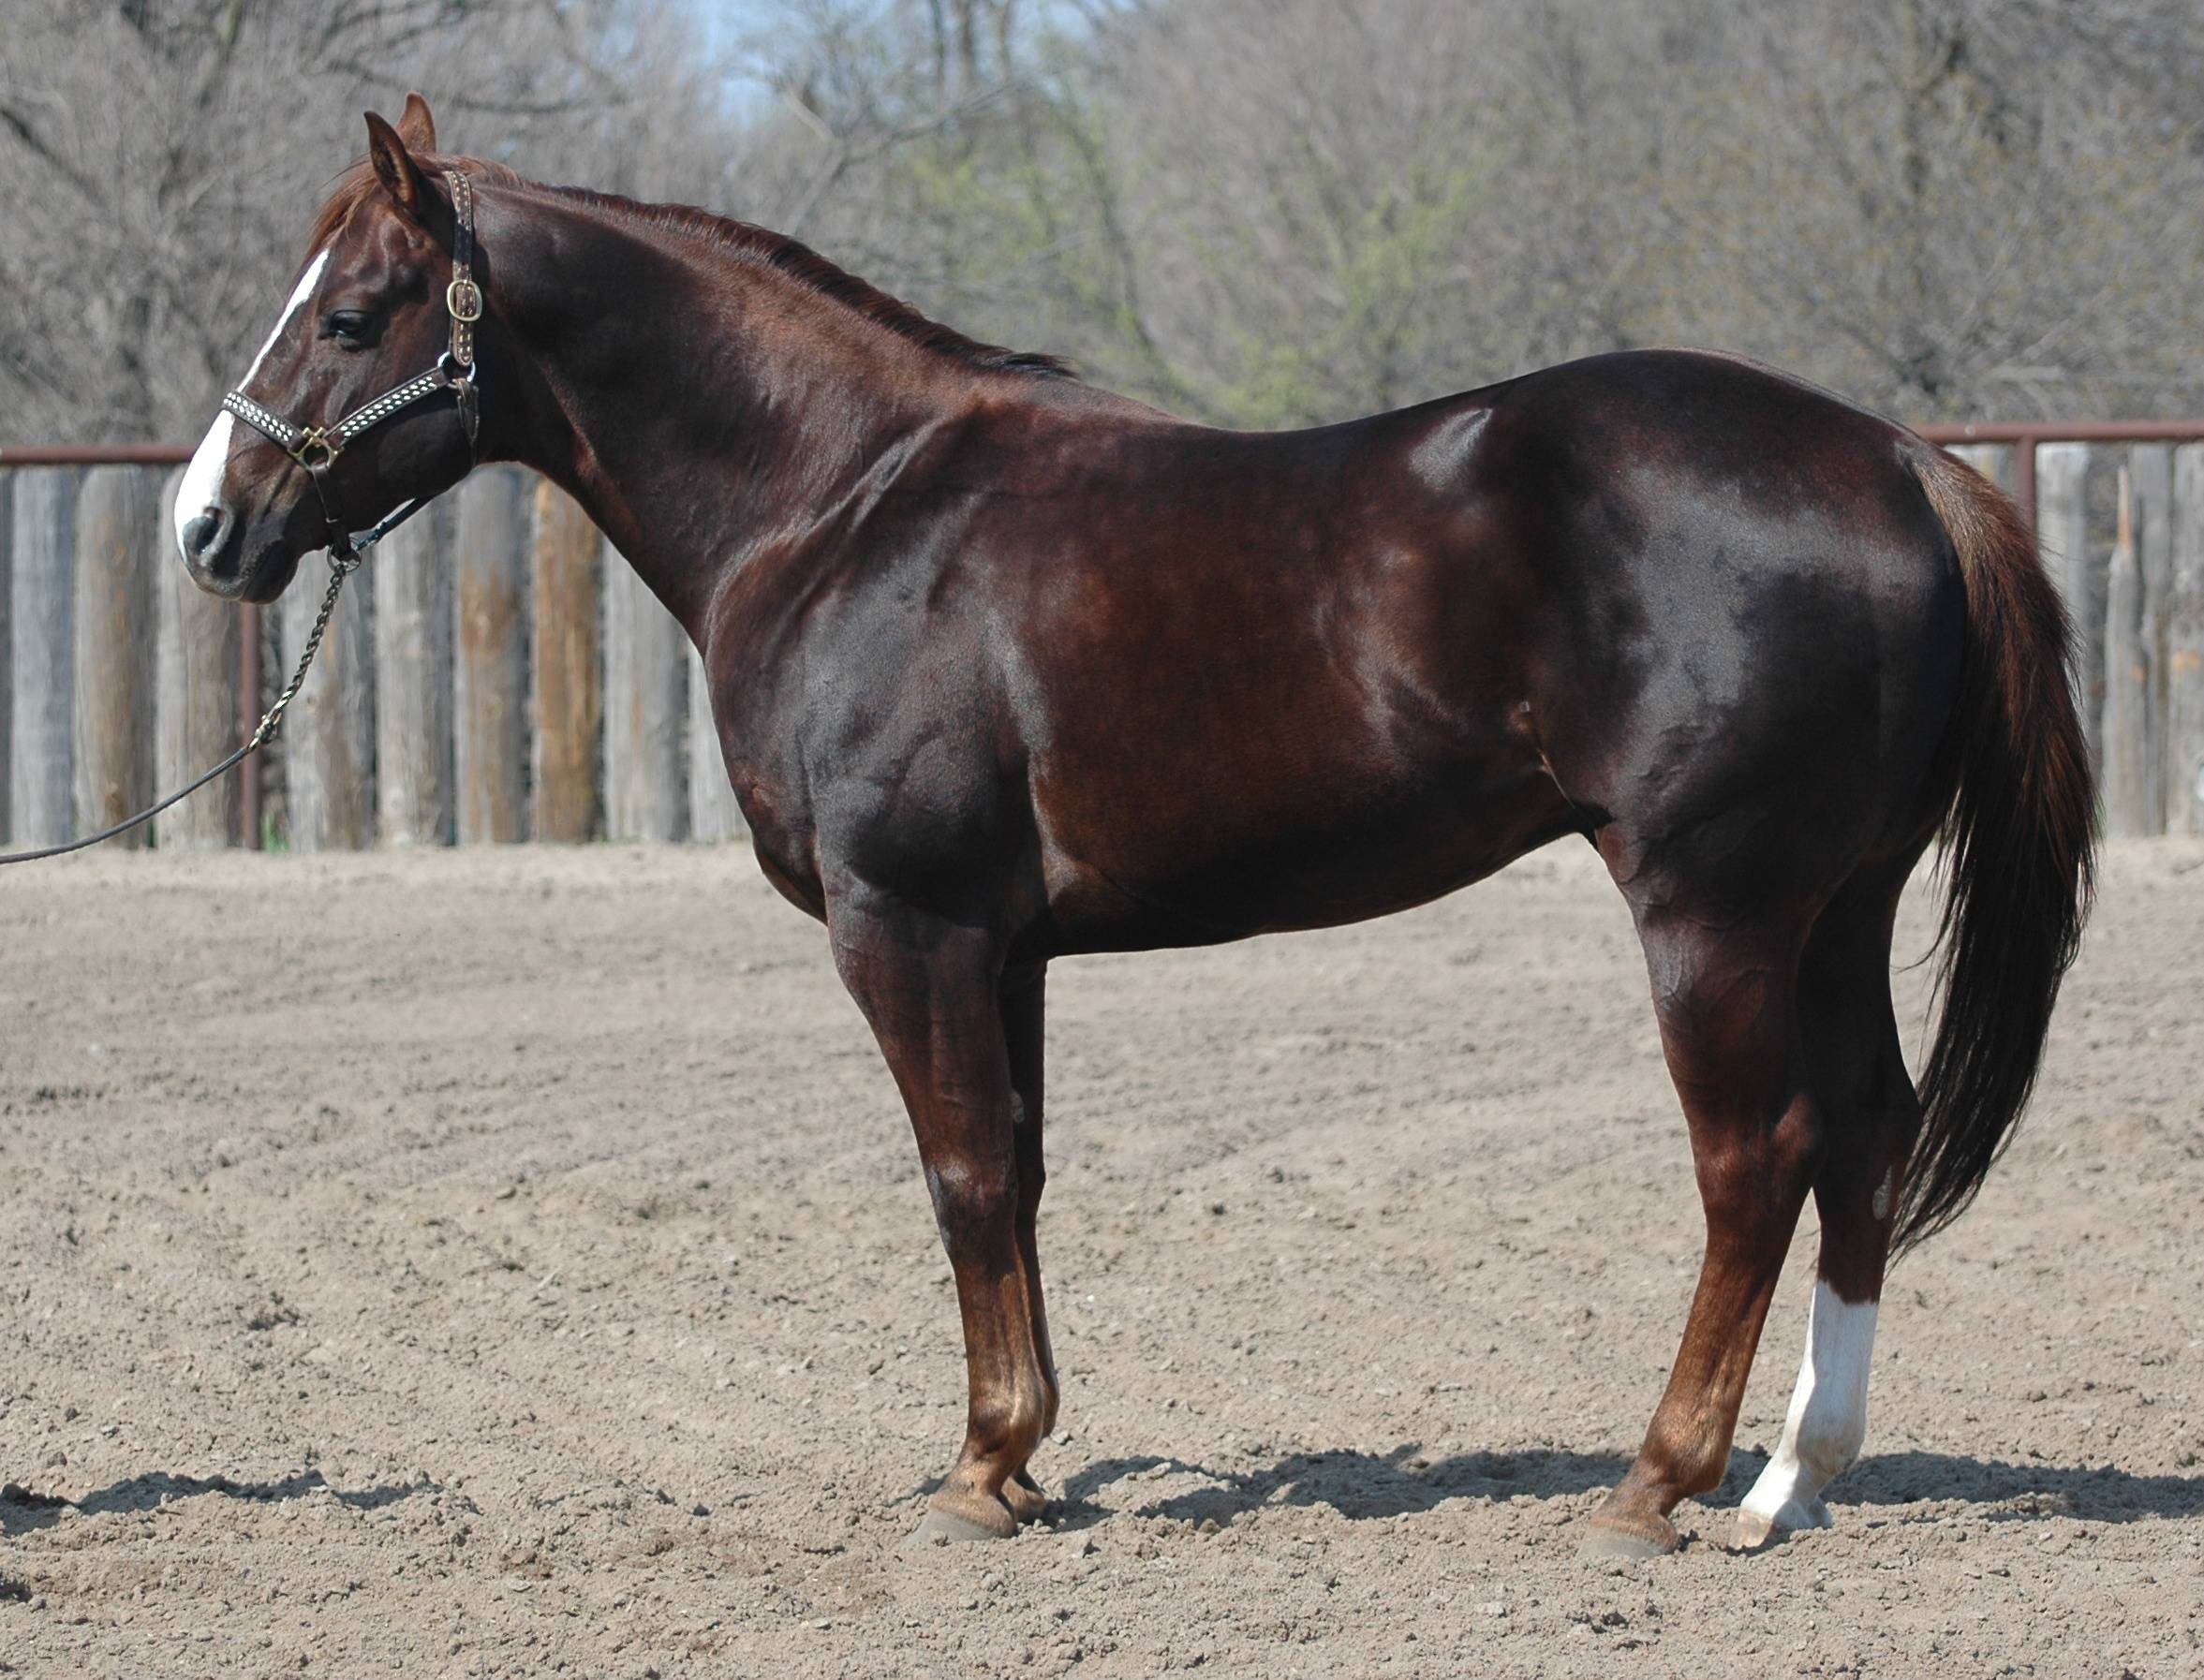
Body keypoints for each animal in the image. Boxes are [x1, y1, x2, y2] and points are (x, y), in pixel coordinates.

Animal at [172, 96, 2092, 1556]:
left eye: (349, 315)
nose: (207, 526)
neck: (844, 506)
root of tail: (1898, 459)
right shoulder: (1004, 944)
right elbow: (1016, 1170)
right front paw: (1022, 1454)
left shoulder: (908, 923)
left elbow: (958, 1176)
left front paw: (975, 1472)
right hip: (1835, 909)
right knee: (1865, 1137)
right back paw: (1787, 1484)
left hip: (1715, 911)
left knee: (1754, 1157)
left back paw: (1655, 1481)